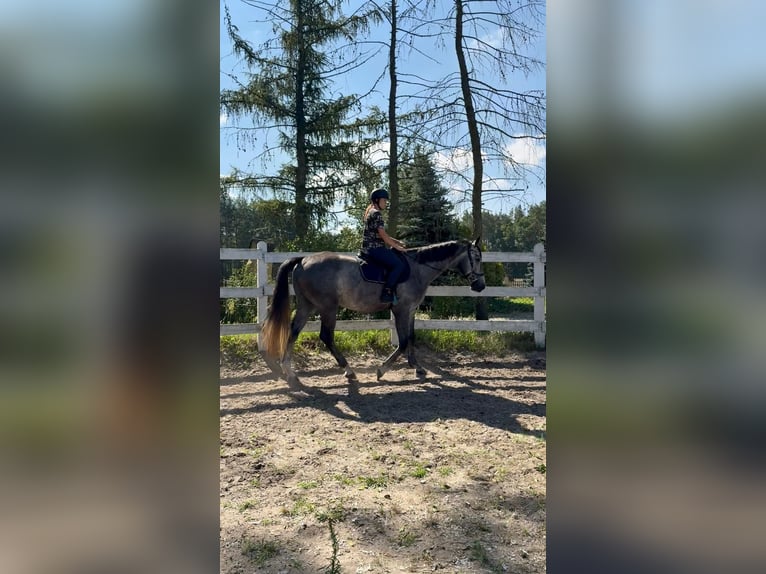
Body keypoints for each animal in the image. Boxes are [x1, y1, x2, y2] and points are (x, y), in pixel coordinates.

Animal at [260, 238, 486, 391]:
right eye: (475, 258)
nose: (480, 286)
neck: (417, 269)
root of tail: (303, 260)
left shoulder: (411, 310)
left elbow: (411, 338)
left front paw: (417, 367)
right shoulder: (401, 310)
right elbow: (403, 342)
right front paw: (381, 370)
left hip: (307, 306)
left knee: (293, 332)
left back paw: (291, 374)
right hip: (327, 308)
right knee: (326, 336)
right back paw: (348, 370)